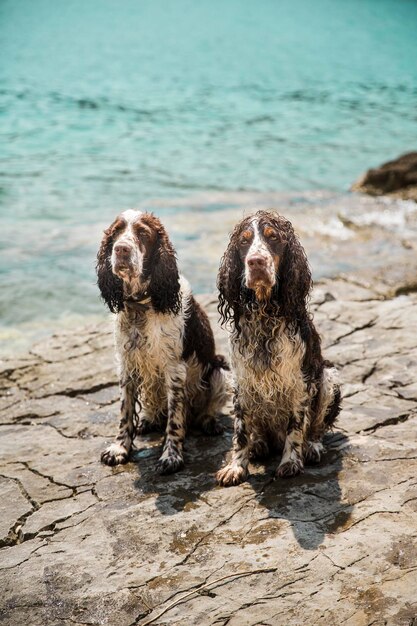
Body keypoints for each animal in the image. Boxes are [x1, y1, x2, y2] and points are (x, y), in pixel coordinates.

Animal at [96, 210, 229, 472]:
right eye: (116, 232)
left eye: (143, 233)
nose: (121, 249)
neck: (141, 306)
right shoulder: (127, 364)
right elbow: (125, 411)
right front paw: (119, 449)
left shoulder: (174, 369)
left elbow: (175, 418)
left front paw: (171, 456)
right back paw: (149, 420)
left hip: (219, 369)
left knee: (206, 409)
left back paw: (209, 422)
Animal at [216, 207, 340, 486]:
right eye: (244, 242)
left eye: (273, 237)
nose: (256, 262)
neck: (265, 314)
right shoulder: (243, 382)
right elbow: (240, 431)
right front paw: (236, 466)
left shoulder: (300, 382)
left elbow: (296, 426)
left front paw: (290, 462)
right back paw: (259, 444)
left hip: (328, 378)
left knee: (316, 428)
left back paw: (311, 447)